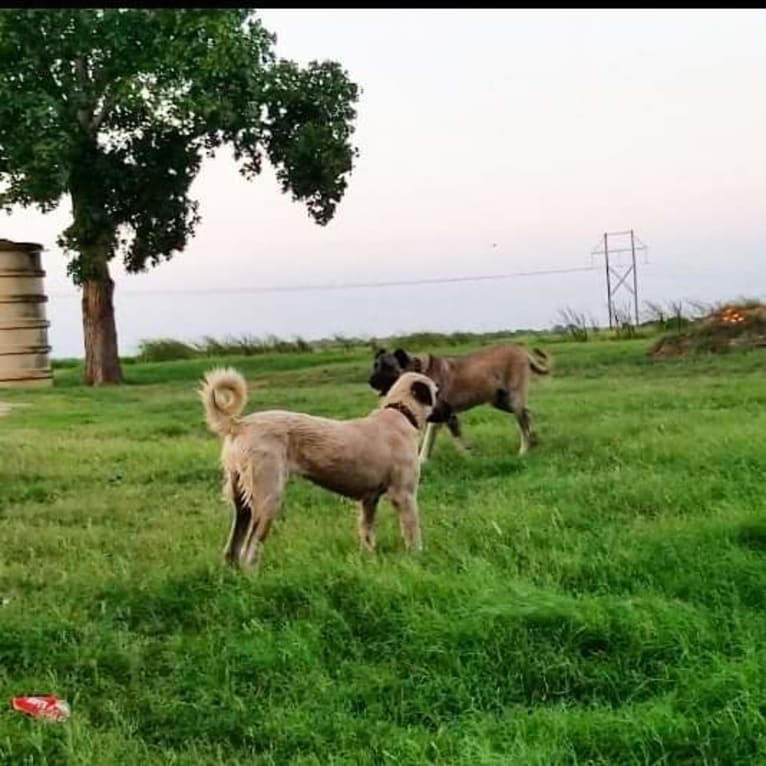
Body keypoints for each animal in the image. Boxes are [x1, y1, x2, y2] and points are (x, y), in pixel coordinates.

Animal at [370, 344, 552, 464]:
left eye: (387, 367)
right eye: (376, 365)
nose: (370, 382)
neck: (416, 372)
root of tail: (521, 350)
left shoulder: (448, 415)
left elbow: (456, 441)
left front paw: (470, 458)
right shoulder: (435, 419)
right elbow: (427, 442)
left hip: (512, 400)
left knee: (523, 425)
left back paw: (524, 451)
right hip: (501, 401)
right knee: (528, 412)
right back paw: (535, 438)